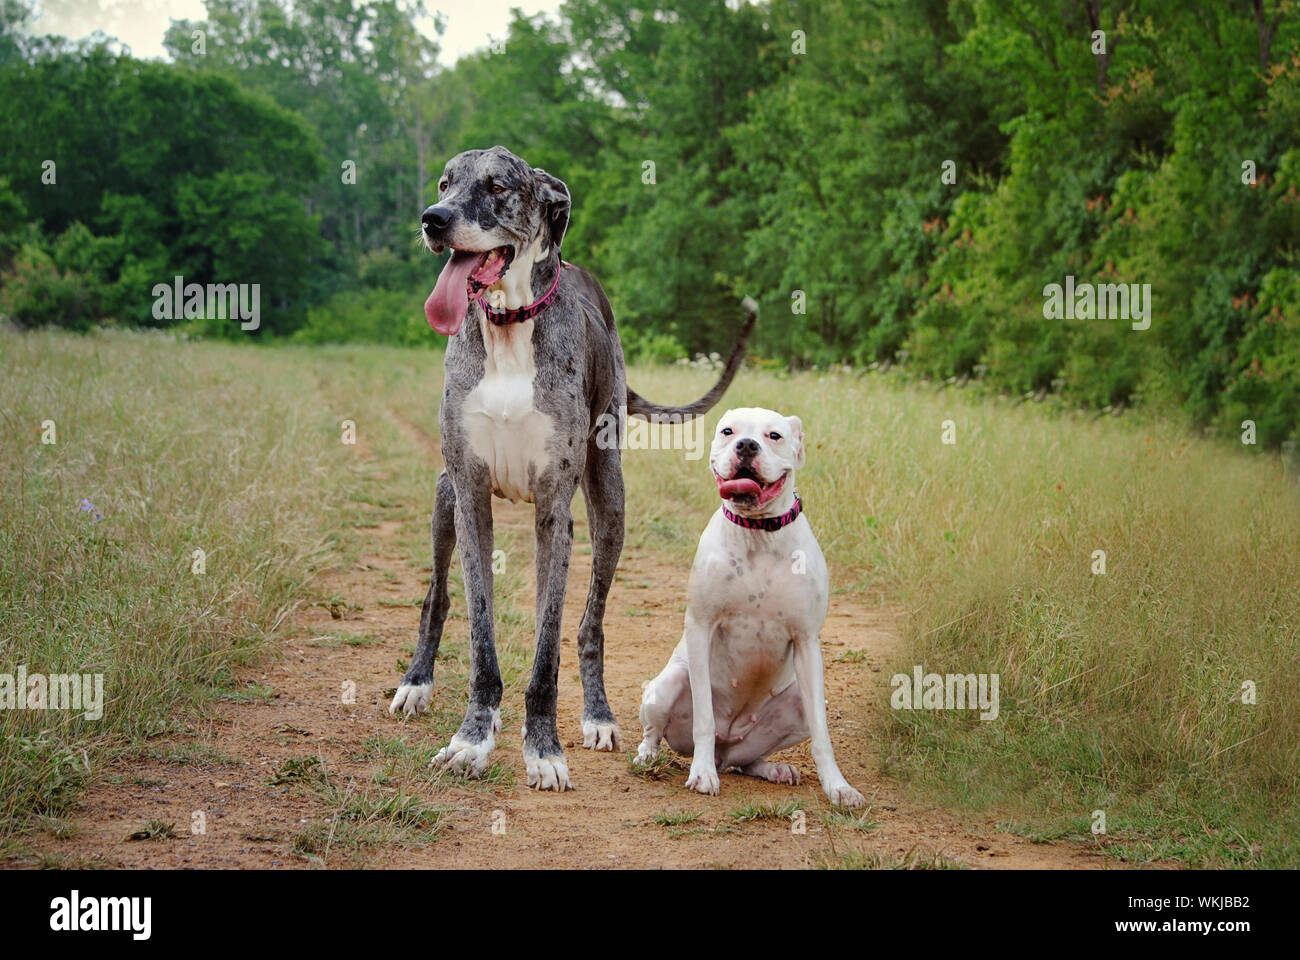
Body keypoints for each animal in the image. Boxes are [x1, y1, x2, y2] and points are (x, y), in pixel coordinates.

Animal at [637, 408, 868, 806]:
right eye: (728, 432)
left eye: (774, 435)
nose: (746, 445)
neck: (758, 532)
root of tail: (725, 748)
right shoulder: (700, 627)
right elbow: (704, 718)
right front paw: (702, 774)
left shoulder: (806, 640)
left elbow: (823, 737)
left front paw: (838, 787)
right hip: (668, 683)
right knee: (657, 729)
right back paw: (650, 756)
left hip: (793, 708)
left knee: (746, 761)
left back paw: (772, 769)